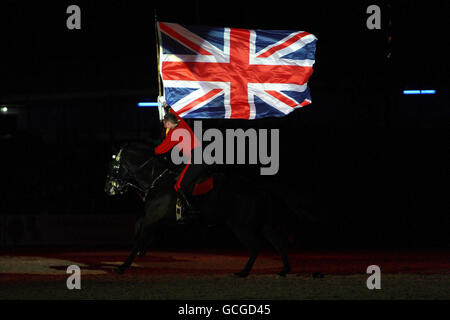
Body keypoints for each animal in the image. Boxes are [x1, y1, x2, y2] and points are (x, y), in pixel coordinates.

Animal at [104, 141, 298, 276]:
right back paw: (284, 270)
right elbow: (138, 226)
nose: (108, 188)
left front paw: (123, 266)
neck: (156, 178)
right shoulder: (156, 217)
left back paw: (244, 272)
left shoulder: (153, 216)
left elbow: (139, 236)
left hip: (241, 226)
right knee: (277, 242)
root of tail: (260, 189)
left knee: (256, 246)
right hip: (263, 224)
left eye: (114, 165)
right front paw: (141, 251)